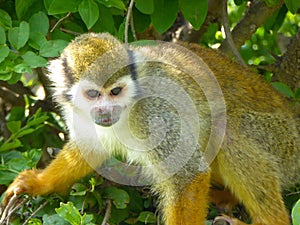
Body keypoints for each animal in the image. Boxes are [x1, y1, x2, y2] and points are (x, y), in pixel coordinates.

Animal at [2, 33, 300, 225]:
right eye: (92, 95)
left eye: (116, 91)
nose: (105, 111)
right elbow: (89, 149)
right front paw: (37, 183)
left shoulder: (155, 112)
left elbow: (187, 174)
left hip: (281, 141)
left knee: (227, 132)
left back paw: (270, 220)